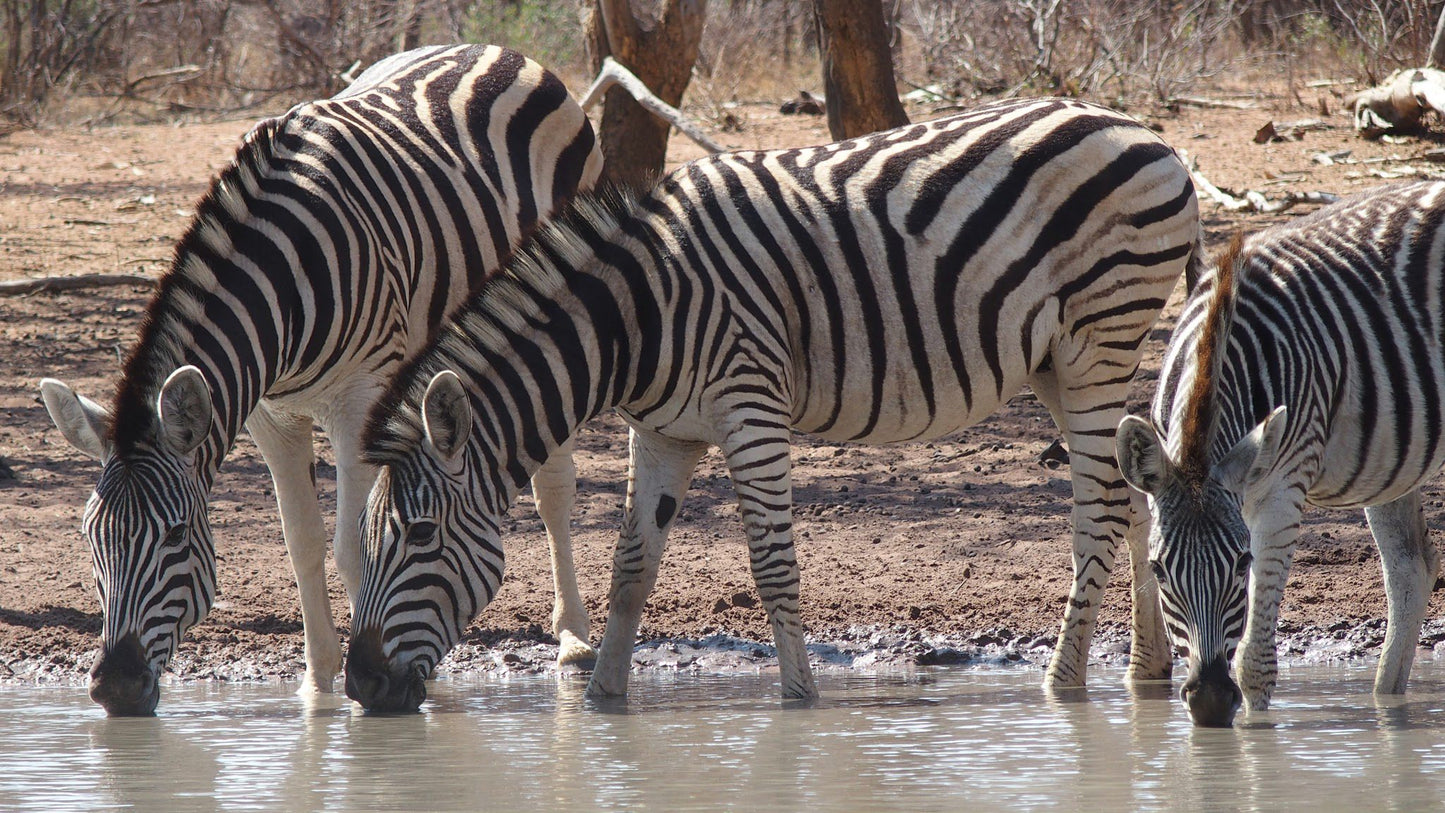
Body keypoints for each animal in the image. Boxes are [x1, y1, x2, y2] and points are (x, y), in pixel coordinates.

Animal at [39, 46, 601, 719]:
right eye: (90, 537)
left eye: (175, 537)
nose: (116, 689)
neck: (281, 288)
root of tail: (492, 50)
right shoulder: (270, 417)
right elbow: (302, 544)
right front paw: (318, 684)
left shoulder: (360, 403)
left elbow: (357, 546)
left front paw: (378, 681)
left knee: (554, 490)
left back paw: (573, 639)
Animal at [343, 96, 1202, 713]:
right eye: (372, 538)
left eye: (419, 535)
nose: (360, 687)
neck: (638, 317)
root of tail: (1146, 134)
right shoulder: (661, 432)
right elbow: (631, 566)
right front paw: (602, 704)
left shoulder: (749, 406)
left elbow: (771, 563)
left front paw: (797, 703)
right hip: (1056, 361)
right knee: (1129, 498)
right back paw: (1145, 671)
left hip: (1098, 338)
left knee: (1098, 508)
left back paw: (1063, 684)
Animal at [1115, 181, 1445, 727]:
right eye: (1158, 570)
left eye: (1243, 561)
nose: (1209, 702)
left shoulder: (1282, 490)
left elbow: (1254, 661)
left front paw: (1255, 736)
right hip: (1391, 462)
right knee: (1411, 572)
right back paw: (1386, 703)